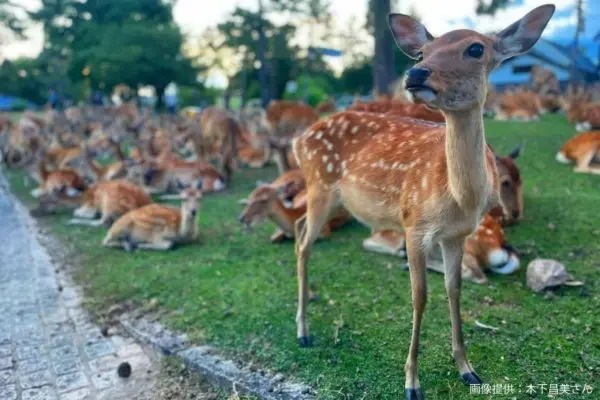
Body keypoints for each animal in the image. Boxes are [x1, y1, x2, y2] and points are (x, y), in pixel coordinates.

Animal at [290, 5, 552, 396]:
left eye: (476, 48)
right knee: (305, 242)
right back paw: (303, 331)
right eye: (421, 53)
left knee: (298, 226)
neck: (459, 197)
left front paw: (467, 369)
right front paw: (412, 382)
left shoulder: (456, 235)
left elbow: (454, 289)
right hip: (320, 184)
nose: (415, 73)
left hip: (328, 195)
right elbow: (420, 296)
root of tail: (298, 140)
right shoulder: (413, 224)